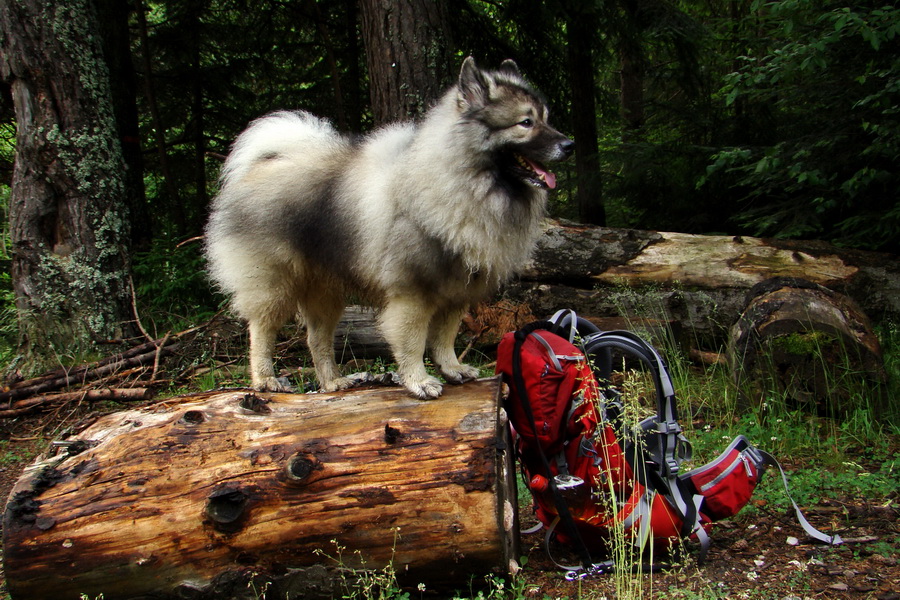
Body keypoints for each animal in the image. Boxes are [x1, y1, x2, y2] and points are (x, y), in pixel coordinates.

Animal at [205, 57, 572, 398]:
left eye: (546, 118)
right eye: (526, 122)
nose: (569, 144)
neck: (462, 180)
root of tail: (265, 162)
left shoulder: (456, 291)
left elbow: (446, 337)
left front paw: (452, 368)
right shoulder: (412, 293)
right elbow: (413, 341)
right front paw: (419, 381)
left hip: (324, 292)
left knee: (317, 338)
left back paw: (333, 381)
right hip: (274, 284)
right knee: (261, 330)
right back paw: (265, 379)